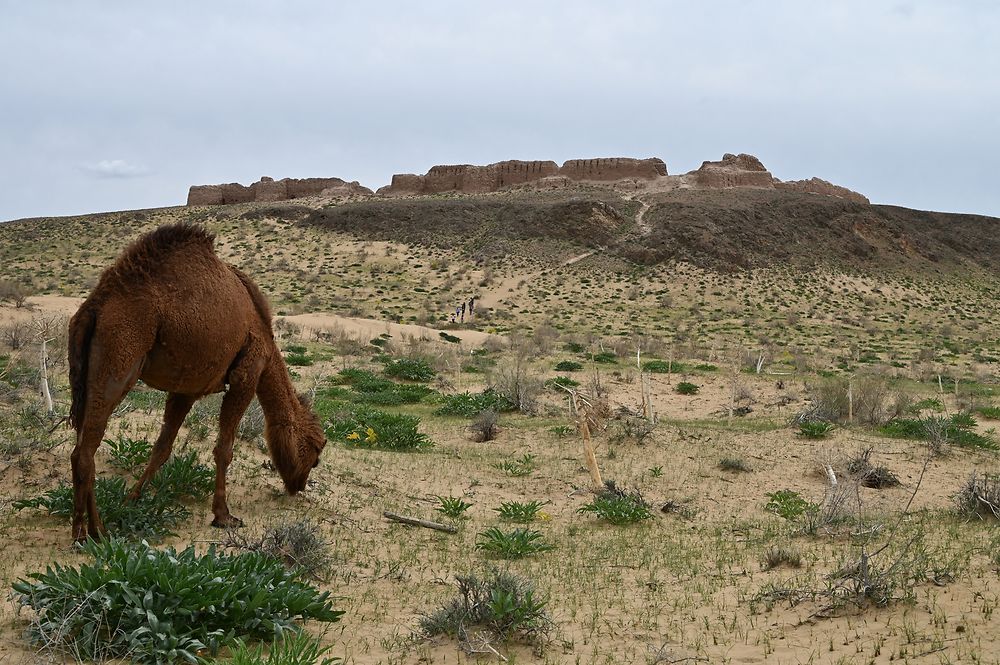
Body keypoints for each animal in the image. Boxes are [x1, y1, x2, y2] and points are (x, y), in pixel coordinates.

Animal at [66, 220, 324, 544]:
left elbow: (162, 447)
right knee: (84, 452)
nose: (298, 485)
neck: (265, 335)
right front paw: (223, 516)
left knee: (82, 439)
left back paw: (94, 529)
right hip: (120, 354)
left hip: (88, 371)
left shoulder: (186, 388)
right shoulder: (247, 374)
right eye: (316, 451)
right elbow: (224, 449)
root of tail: (95, 305)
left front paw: (132, 500)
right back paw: (86, 533)